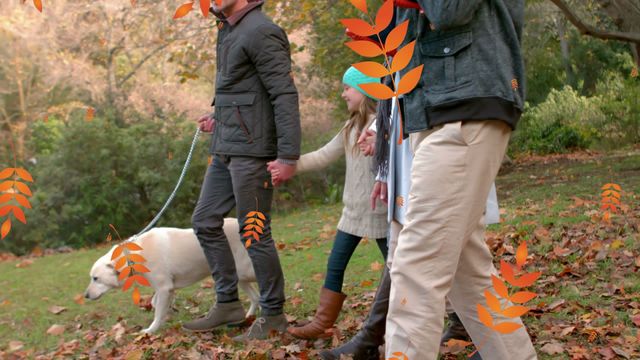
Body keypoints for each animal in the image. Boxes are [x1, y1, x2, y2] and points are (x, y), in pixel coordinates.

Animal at [84, 218, 258, 334]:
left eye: (95, 278)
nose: (85, 296)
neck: (133, 255)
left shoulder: (163, 288)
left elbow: (157, 312)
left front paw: (150, 330)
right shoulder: (166, 289)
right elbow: (155, 304)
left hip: (244, 271)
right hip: (238, 276)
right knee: (255, 297)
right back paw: (247, 318)